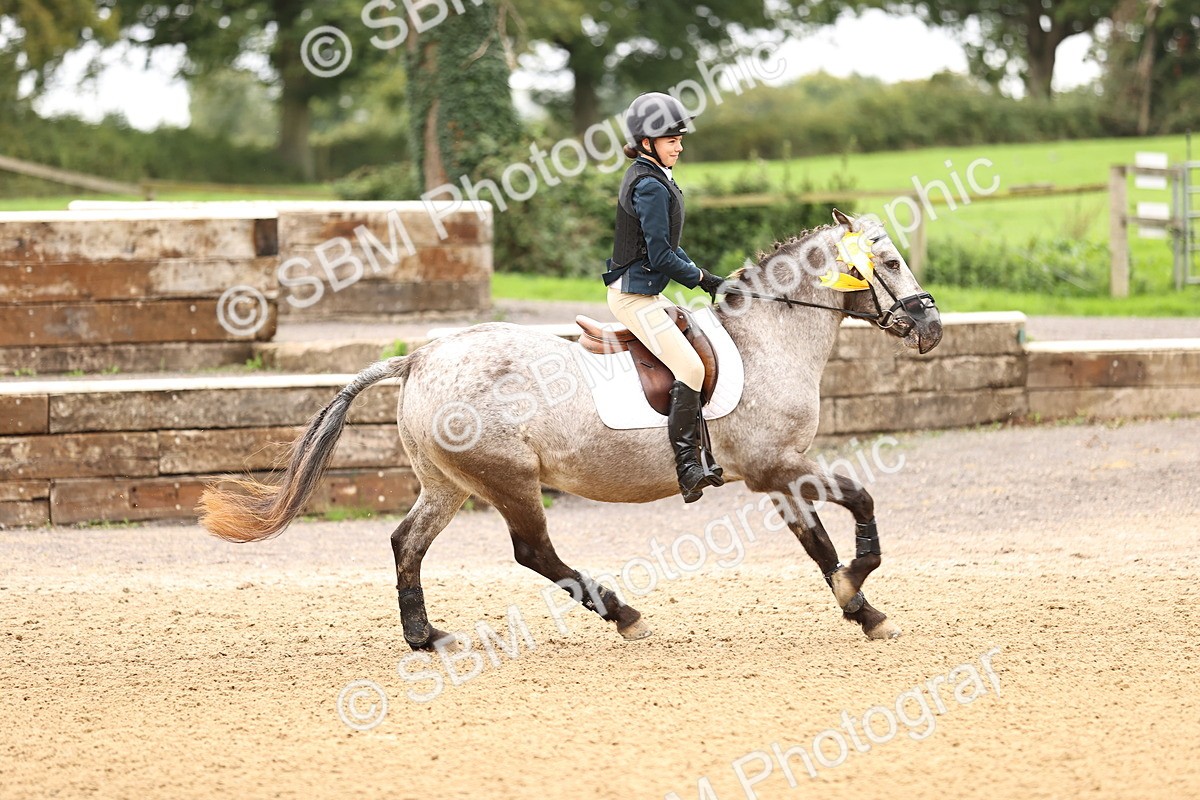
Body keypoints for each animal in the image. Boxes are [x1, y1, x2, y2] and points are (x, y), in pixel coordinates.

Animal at [199, 209, 943, 649]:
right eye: (890, 261)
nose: (931, 326)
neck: (769, 336)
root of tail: (419, 357)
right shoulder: (775, 466)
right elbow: (855, 507)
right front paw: (860, 589)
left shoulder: (780, 474)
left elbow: (819, 542)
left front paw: (861, 609)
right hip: (509, 479)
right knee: (534, 552)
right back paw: (623, 614)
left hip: (447, 483)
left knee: (407, 542)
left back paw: (426, 636)